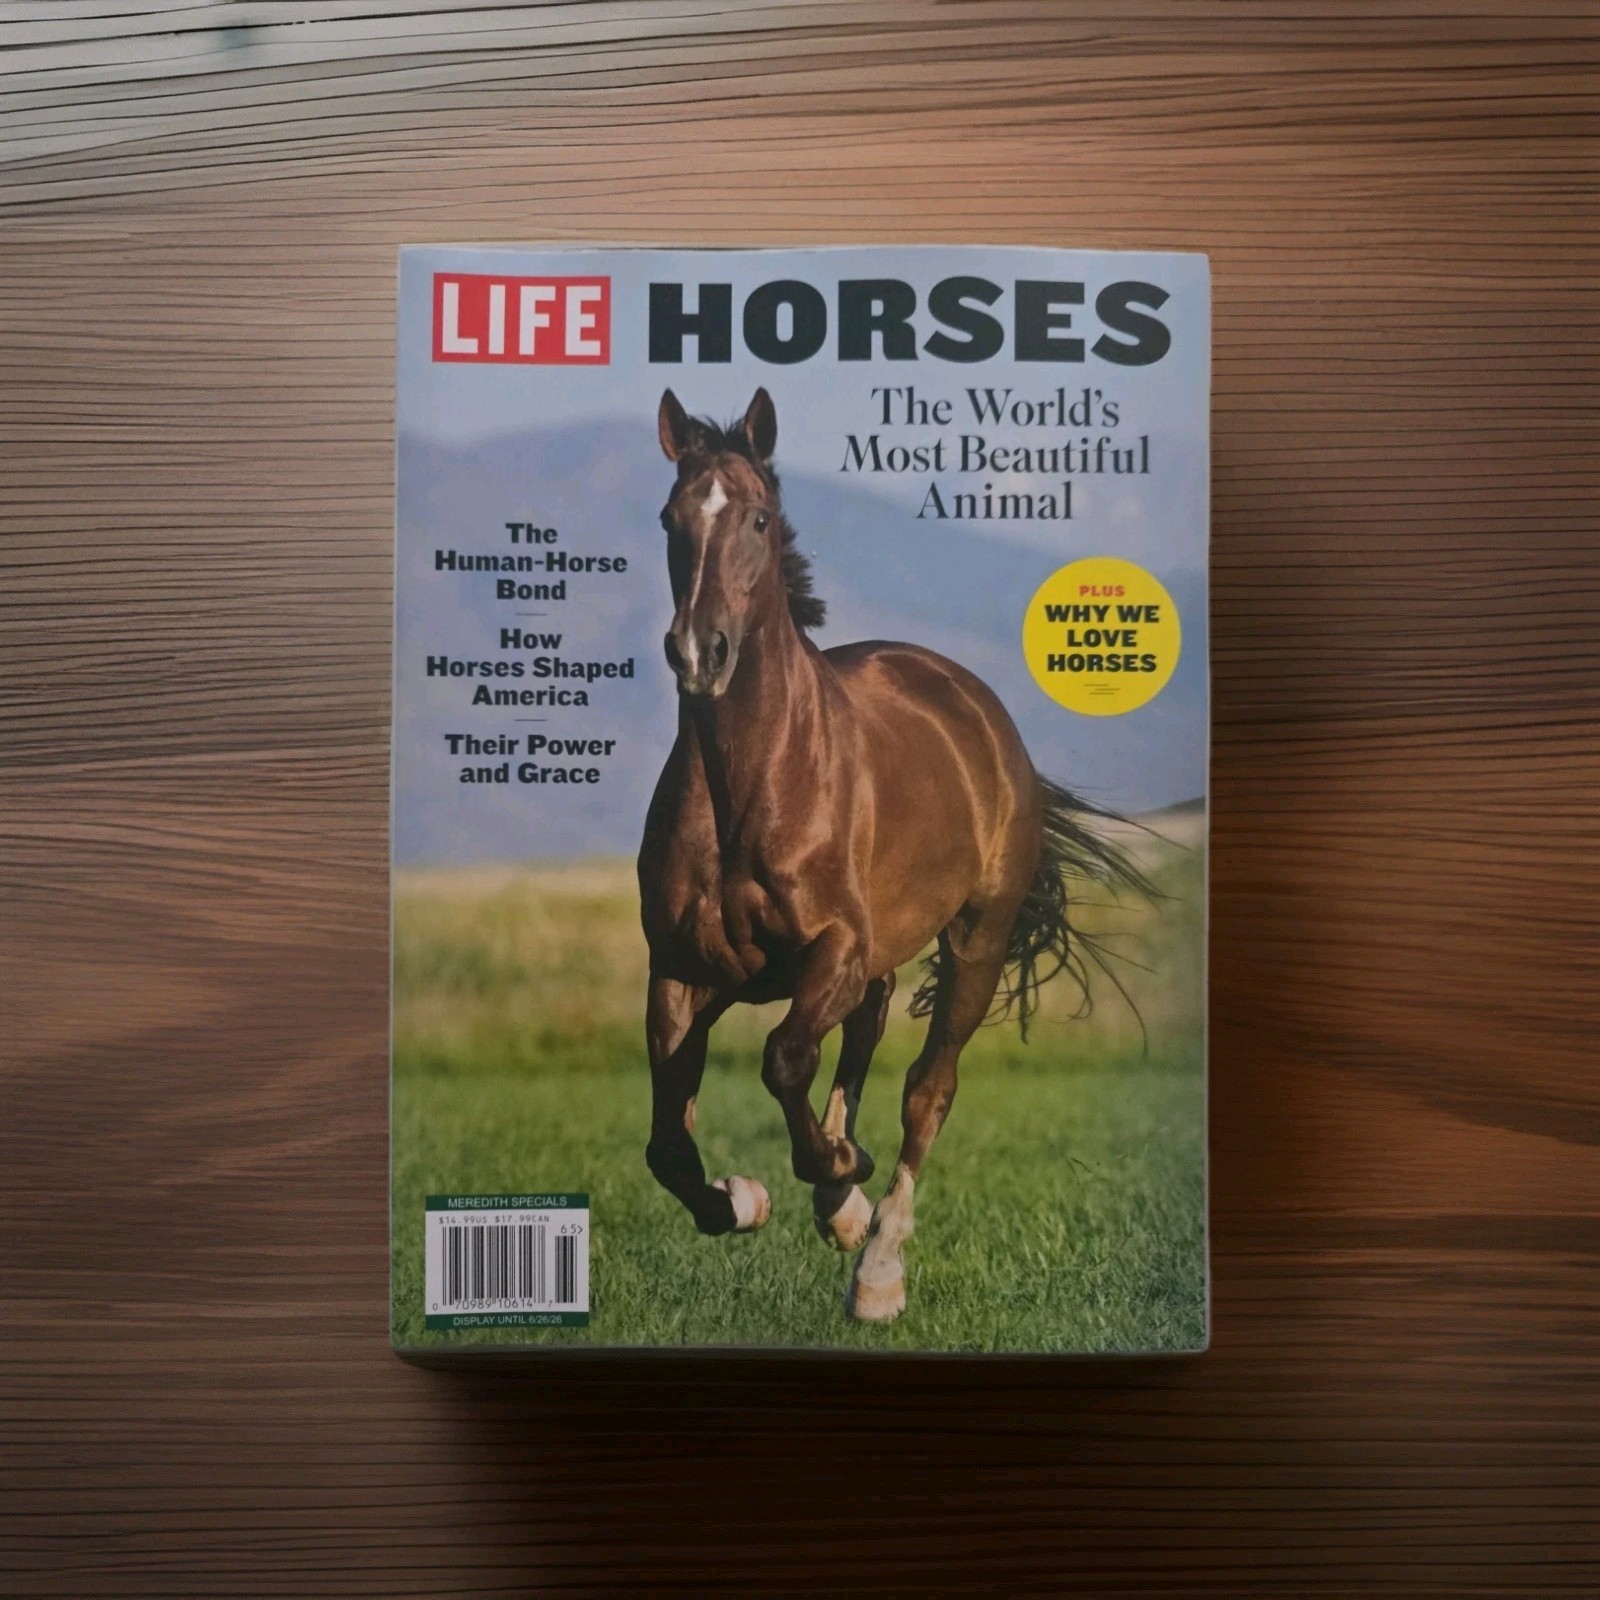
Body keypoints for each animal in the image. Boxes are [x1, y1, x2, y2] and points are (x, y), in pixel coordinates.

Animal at [636, 386, 1147, 1322]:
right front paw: (748, 1199)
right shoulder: (683, 971)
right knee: (863, 1044)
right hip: (860, 967)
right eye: (669, 518)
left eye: (757, 517)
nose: (700, 653)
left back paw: (876, 1264)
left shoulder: (834, 951)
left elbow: (785, 1061)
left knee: (925, 1090)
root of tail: (977, 709)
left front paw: (841, 1194)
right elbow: (668, 1146)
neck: (750, 784)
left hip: (975, 942)